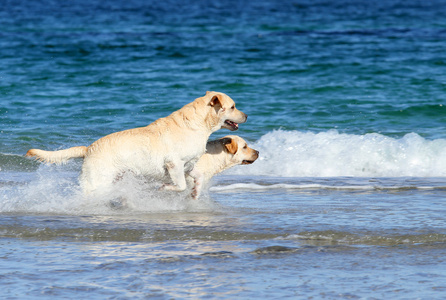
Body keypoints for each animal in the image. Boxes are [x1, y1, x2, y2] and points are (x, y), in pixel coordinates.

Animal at [25, 91, 247, 197]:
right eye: (233, 106)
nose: (246, 115)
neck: (198, 125)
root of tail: (88, 148)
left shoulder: (189, 164)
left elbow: (197, 177)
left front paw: (195, 192)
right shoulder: (174, 164)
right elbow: (180, 185)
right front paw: (164, 188)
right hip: (98, 180)